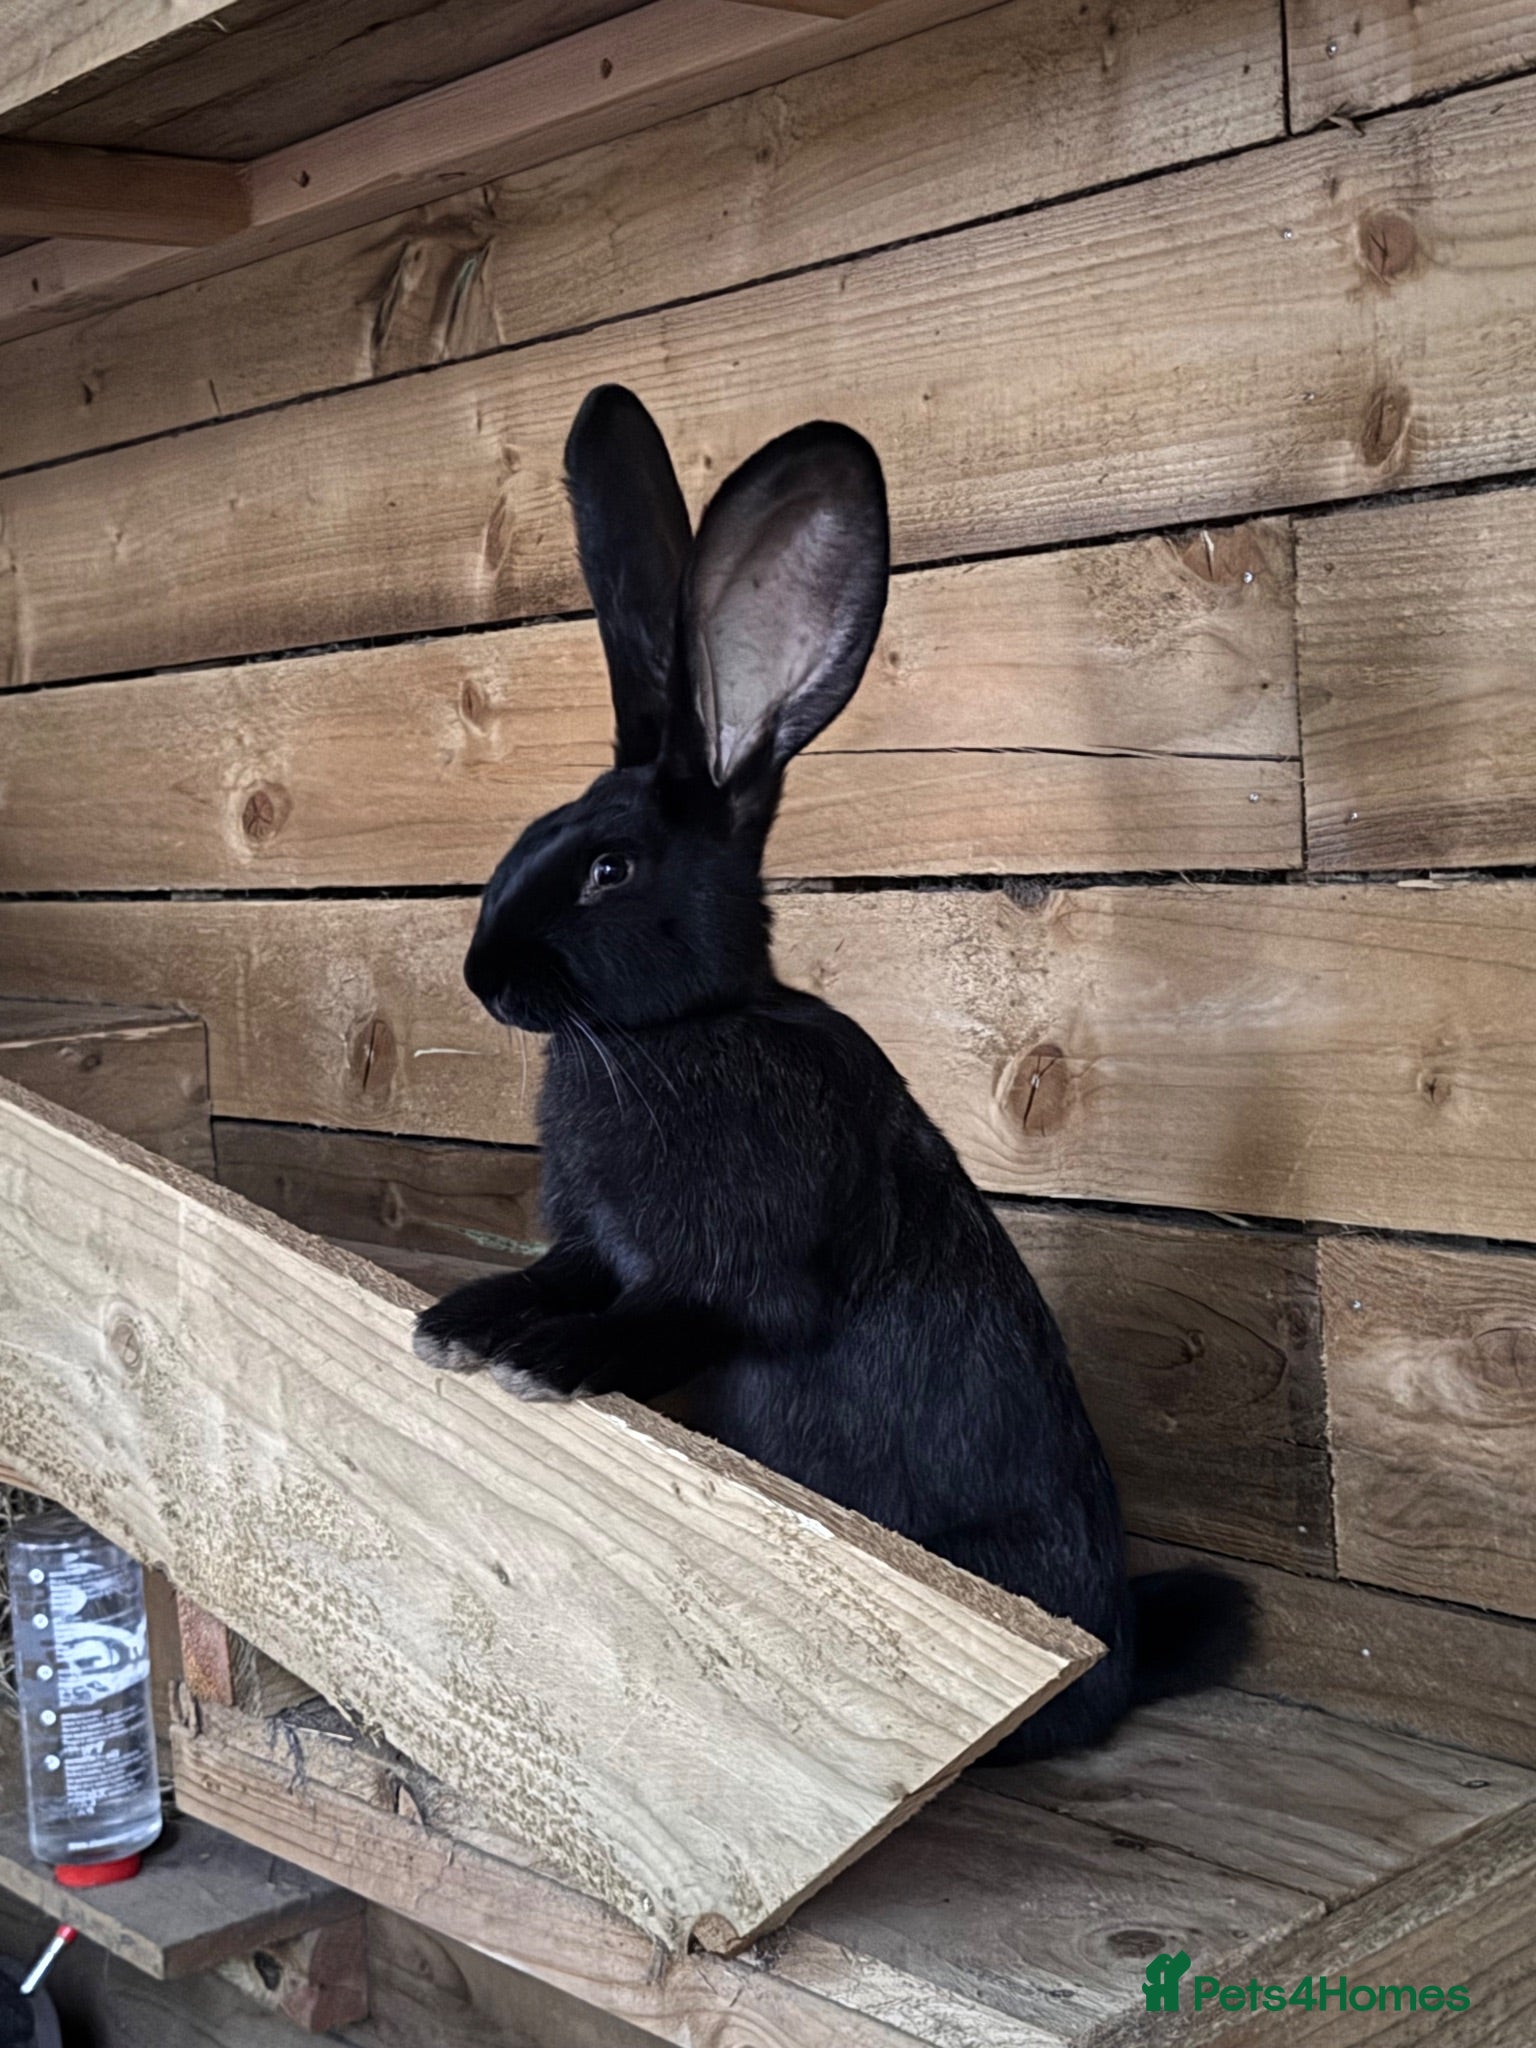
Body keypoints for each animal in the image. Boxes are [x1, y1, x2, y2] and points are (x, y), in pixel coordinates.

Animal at [412, 385, 1249, 1760]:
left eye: (608, 871)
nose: (480, 974)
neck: (682, 1029)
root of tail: (1123, 1663)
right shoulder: (596, 1241)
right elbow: (555, 1271)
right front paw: (464, 1321)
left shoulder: (746, 1278)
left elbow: (667, 1316)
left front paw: (547, 1358)